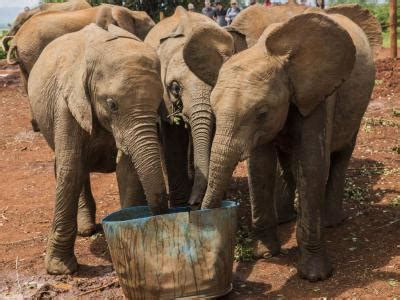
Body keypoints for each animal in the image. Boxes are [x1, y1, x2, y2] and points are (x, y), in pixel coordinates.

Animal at [28, 24, 168, 276]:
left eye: (158, 104)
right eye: (112, 105)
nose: (159, 210)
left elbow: (127, 170)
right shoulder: (66, 104)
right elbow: (70, 170)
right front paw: (60, 270)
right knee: (73, 169)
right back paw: (85, 230)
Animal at [202, 11, 376, 282]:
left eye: (262, 112)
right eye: (214, 109)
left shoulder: (318, 94)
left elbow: (312, 163)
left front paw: (316, 275)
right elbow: (259, 167)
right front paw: (265, 254)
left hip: (358, 106)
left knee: (342, 154)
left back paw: (332, 222)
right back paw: (287, 218)